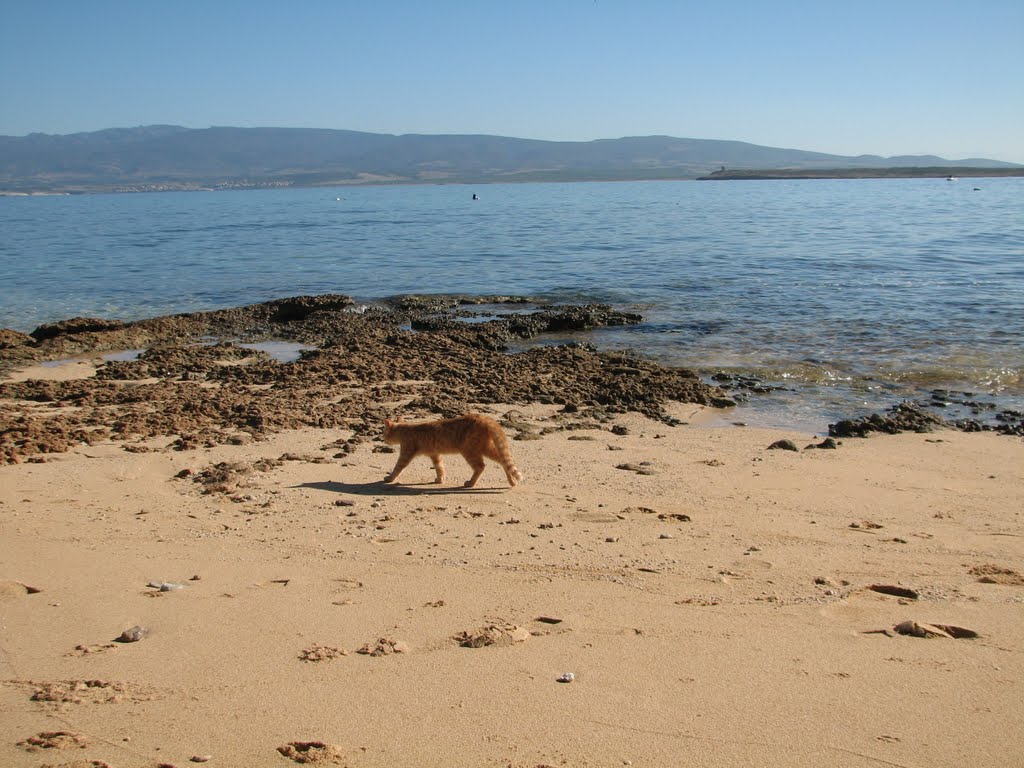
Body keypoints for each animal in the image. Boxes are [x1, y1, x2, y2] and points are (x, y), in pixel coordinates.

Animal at [380, 411, 524, 489]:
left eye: (384, 433)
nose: (383, 439)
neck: (405, 429)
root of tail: (485, 418)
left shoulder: (406, 453)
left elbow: (398, 467)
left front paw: (389, 478)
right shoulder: (435, 454)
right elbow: (439, 467)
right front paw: (440, 479)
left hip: (469, 450)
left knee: (480, 466)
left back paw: (470, 483)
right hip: (484, 448)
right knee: (503, 461)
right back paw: (512, 481)